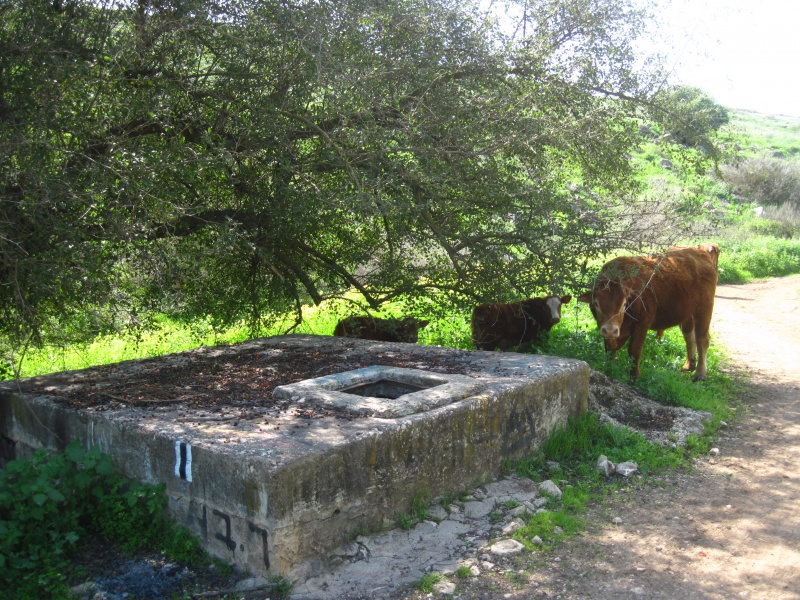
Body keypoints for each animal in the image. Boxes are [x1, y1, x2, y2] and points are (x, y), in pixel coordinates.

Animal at [576, 243, 720, 380]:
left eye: (624, 304)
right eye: (596, 303)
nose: (610, 330)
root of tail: (701, 253)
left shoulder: (642, 325)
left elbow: (634, 351)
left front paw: (634, 377)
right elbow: (610, 350)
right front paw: (609, 370)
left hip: (704, 310)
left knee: (702, 339)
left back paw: (700, 373)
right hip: (687, 313)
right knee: (689, 337)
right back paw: (689, 365)